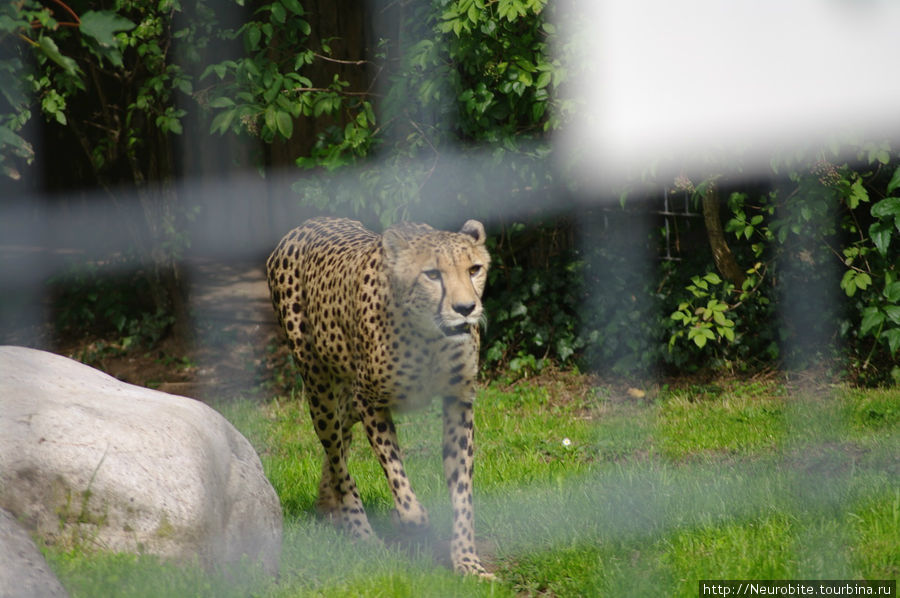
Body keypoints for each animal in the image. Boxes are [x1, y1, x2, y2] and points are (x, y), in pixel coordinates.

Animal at [268, 216, 492, 576]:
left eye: (474, 269)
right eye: (432, 274)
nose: (466, 308)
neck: (429, 338)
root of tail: (307, 224)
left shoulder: (458, 401)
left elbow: (462, 492)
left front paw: (468, 562)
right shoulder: (371, 402)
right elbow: (398, 478)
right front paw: (415, 520)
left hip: (345, 397)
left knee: (340, 443)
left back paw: (327, 504)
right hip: (319, 388)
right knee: (337, 456)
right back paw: (360, 532)